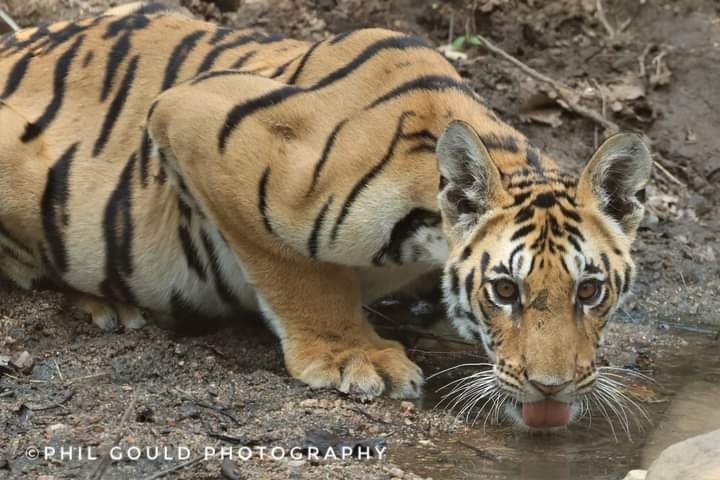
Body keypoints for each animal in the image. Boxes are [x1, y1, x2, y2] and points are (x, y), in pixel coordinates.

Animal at [0, 2, 651, 429]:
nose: (551, 386)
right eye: (505, 290)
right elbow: (298, 271)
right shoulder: (198, 121)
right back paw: (109, 305)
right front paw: (351, 355)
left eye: (590, 290)